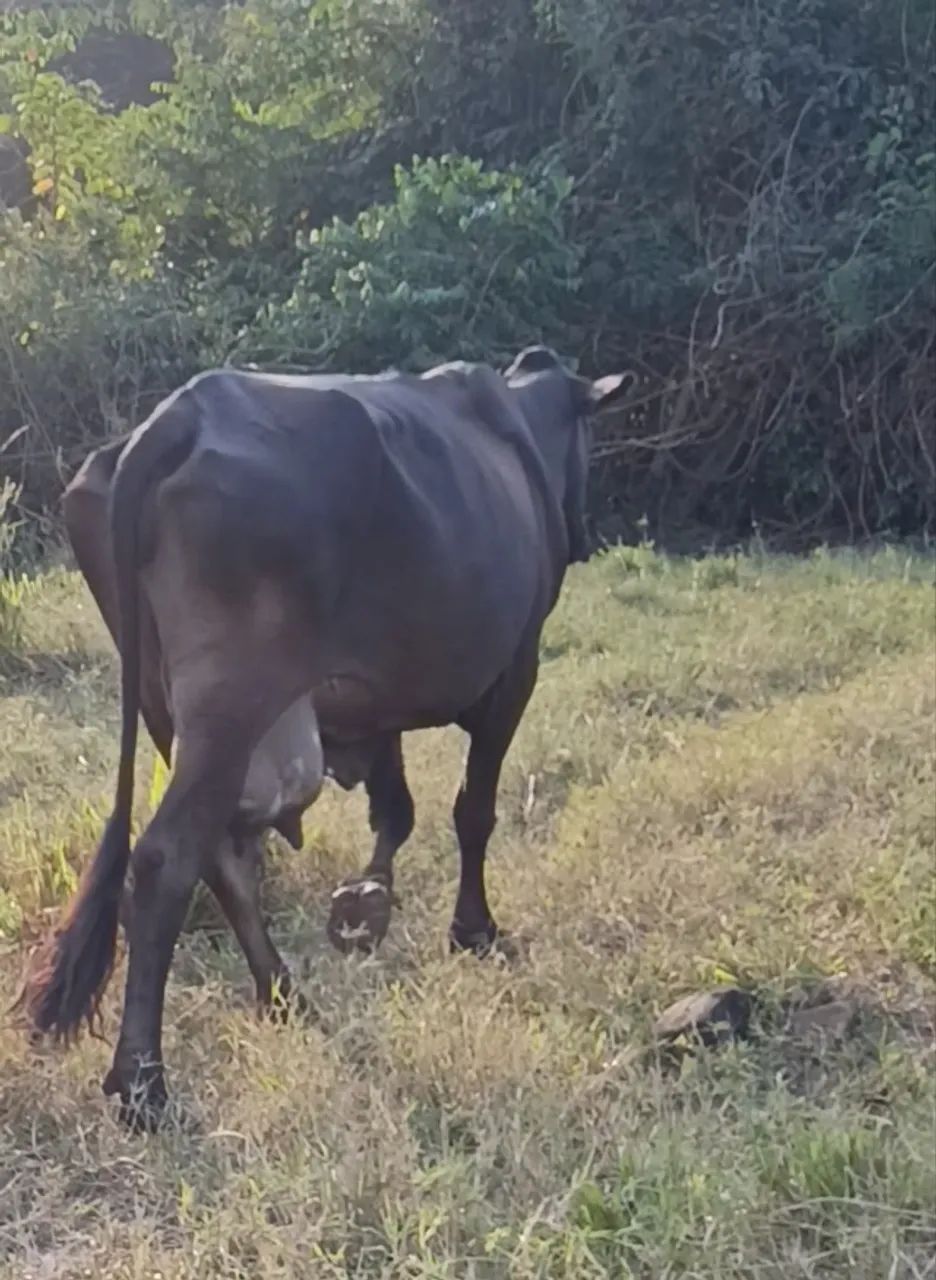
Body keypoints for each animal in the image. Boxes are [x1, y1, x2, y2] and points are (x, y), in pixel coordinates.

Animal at [20, 346, 632, 1130]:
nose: (583, 531)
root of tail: (177, 418)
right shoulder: (514, 671)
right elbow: (472, 812)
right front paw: (472, 931)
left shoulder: (380, 701)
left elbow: (394, 808)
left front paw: (367, 902)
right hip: (230, 705)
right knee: (166, 862)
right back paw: (144, 1083)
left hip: (166, 709)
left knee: (223, 857)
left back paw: (283, 996)